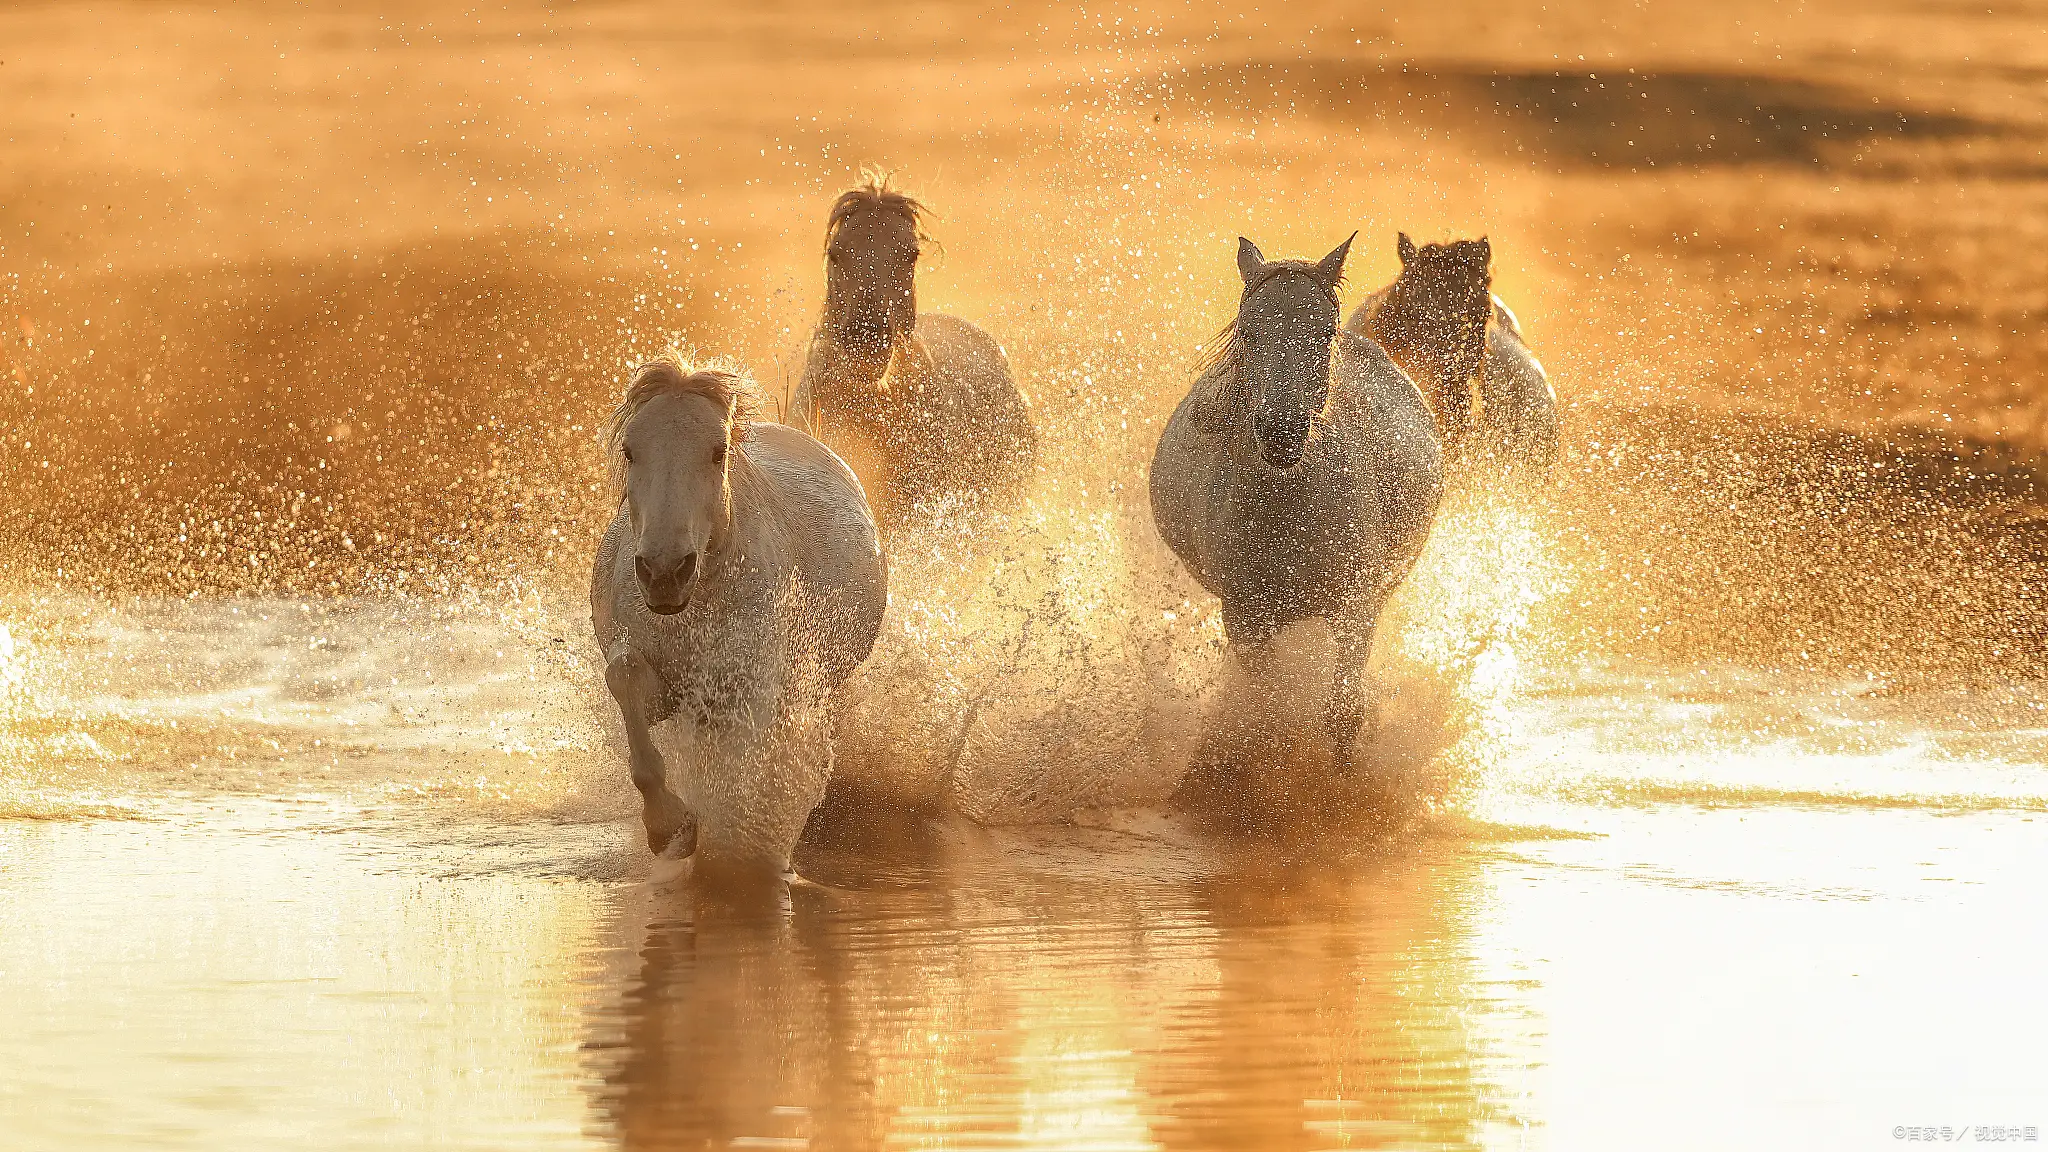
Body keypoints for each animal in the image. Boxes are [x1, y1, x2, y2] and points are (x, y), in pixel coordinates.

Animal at [589, 356, 884, 877]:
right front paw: (669, 826)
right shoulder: (665, 687)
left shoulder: (745, 691)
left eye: (718, 450)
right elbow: (624, 678)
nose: (665, 571)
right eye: (629, 450)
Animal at [1155, 235, 1441, 778]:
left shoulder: (1356, 606)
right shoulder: (1245, 618)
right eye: (1248, 331)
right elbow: (1269, 710)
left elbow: (1343, 712)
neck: (1289, 511)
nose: (1281, 433)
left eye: (1325, 332)